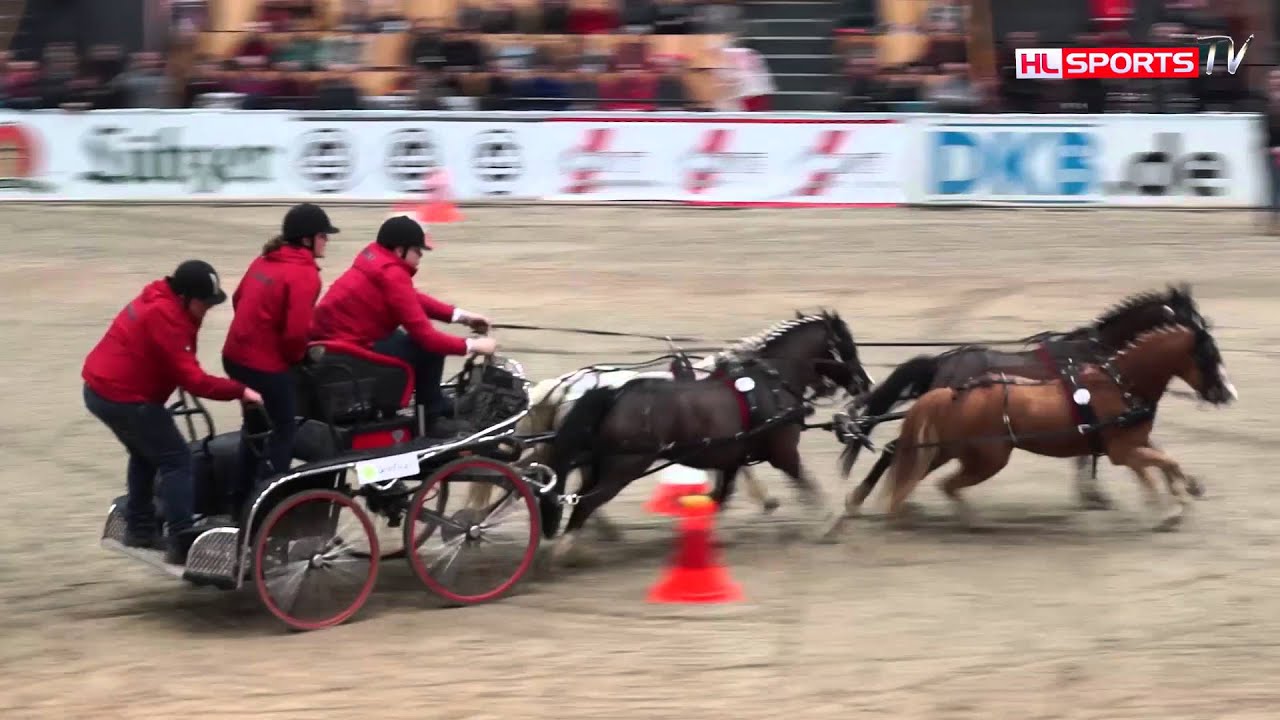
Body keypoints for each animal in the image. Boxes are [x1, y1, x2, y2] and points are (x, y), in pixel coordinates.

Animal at [543, 310, 873, 565]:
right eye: (848, 346)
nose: (865, 384)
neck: (771, 382)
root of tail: (612, 392)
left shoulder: (732, 458)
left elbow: (720, 498)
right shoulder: (783, 453)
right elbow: (807, 484)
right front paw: (830, 523)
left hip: (599, 465)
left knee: (582, 498)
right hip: (625, 466)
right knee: (586, 503)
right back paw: (563, 552)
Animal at [841, 317, 1236, 533]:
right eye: (1208, 355)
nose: (1227, 393)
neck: (1119, 382)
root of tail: (947, 374)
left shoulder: (1133, 445)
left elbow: (1166, 463)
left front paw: (1180, 495)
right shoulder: (1122, 451)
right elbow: (1162, 464)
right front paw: (1168, 508)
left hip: (947, 448)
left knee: (911, 462)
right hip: (982, 457)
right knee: (917, 466)